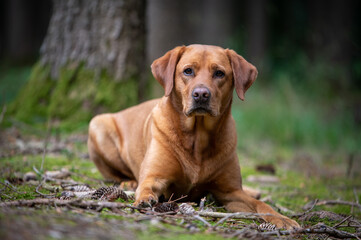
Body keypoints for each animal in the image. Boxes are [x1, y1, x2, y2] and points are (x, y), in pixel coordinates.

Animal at [88, 44, 300, 230]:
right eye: (188, 71)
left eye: (219, 73)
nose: (201, 94)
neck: (198, 137)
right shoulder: (155, 176)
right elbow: (146, 186)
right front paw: (144, 198)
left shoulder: (230, 192)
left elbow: (260, 205)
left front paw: (282, 218)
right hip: (97, 124)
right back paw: (130, 182)